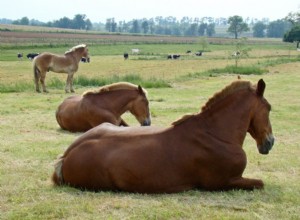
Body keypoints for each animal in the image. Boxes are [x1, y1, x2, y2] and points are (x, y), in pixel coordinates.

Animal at [52, 79, 274, 192]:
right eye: (269, 108)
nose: (270, 142)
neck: (214, 133)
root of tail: (66, 157)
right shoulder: (223, 182)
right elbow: (260, 183)